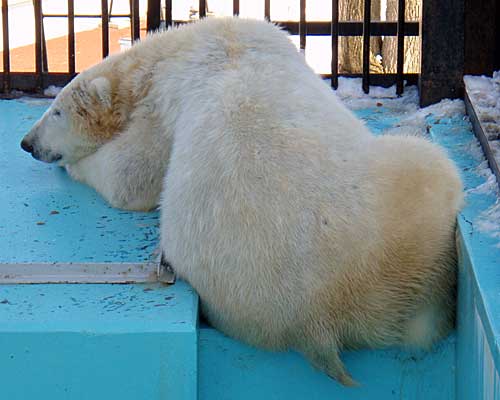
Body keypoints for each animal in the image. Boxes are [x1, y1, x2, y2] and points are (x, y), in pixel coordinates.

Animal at [20, 16, 464, 384]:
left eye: (55, 111)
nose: (27, 143)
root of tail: (320, 313)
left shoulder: (162, 108)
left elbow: (131, 177)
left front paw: (78, 166)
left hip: (409, 190)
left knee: (433, 160)